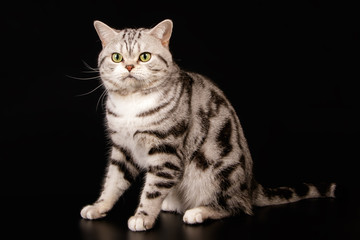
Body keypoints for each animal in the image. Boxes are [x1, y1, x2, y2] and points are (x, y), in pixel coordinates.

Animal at [80, 20, 336, 231]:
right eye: (117, 57)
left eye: (144, 56)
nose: (130, 67)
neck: (132, 104)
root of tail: (251, 186)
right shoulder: (122, 148)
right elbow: (113, 181)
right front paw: (98, 206)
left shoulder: (166, 151)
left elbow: (152, 191)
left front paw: (142, 217)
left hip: (216, 171)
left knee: (237, 207)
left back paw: (199, 212)